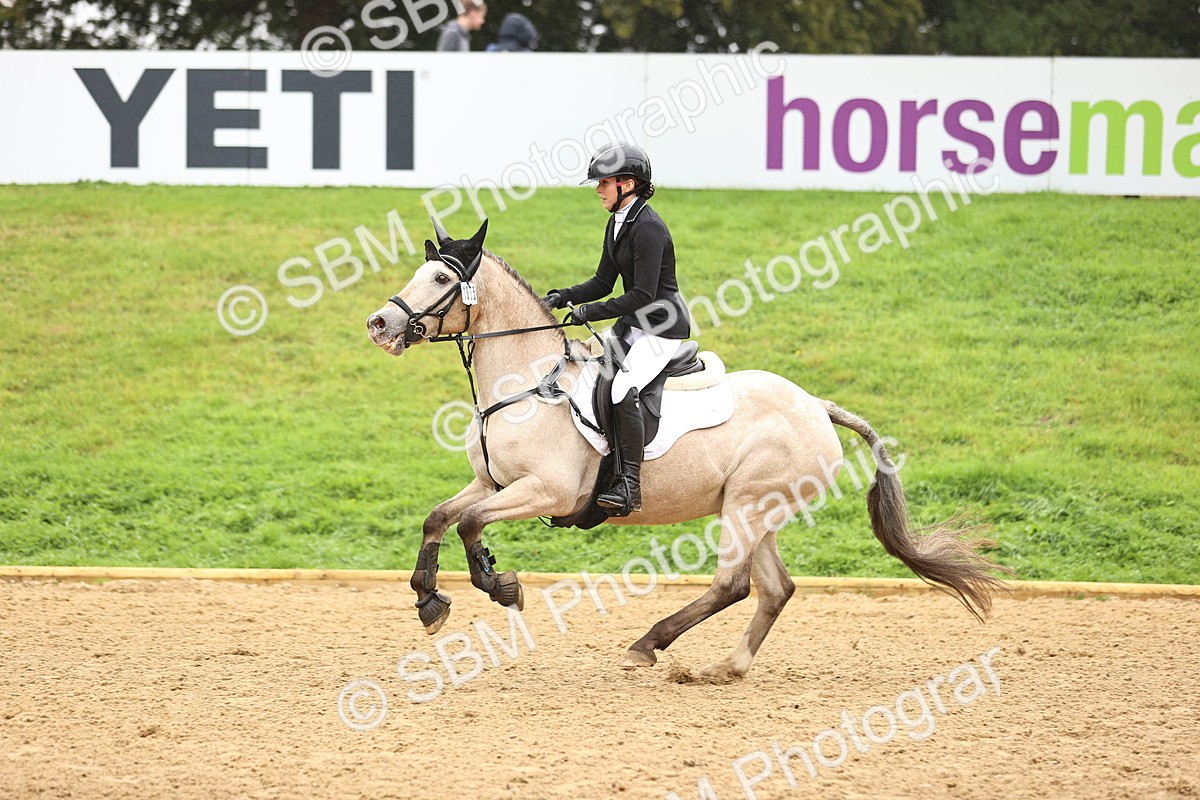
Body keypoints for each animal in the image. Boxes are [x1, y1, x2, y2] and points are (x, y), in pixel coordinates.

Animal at [366, 219, 1010, 680]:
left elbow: (470, 523)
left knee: (735, 585)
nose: (379, 324)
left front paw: (499, 585)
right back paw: (724, 667)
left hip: (748, 504)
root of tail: (816, 406)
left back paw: (650, 644)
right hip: (758, 510)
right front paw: (429, 601)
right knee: (774, 588)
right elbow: (440, 517)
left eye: (442, 281)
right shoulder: (493, 483)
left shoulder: (546, 490)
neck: (528, 382)